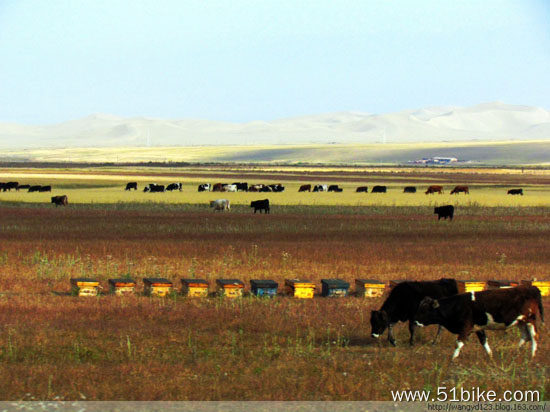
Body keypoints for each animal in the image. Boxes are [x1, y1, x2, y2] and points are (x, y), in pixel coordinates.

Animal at [416, 286, 544, 360]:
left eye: (424, 310)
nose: (416, 321)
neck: (456, 306)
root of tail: (532, 288)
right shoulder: (478, 328)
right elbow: (484, 342)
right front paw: (490, 356)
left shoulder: (466, 327)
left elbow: (458, 343)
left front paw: (453, 359)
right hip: (520, 321)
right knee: (525, 336)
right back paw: (515, 352)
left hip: (530, 320)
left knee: (534, 337)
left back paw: (532, 356)